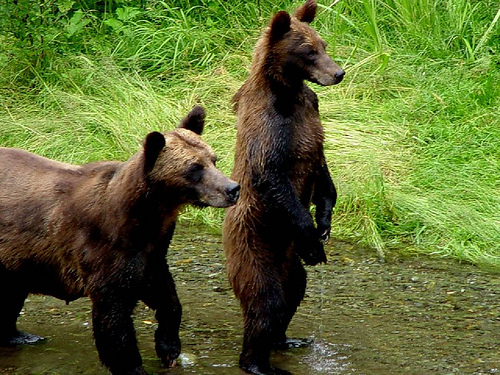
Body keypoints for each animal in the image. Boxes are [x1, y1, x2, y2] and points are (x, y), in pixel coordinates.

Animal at [0, 105, 240, 375]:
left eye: (213, 159)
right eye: (194, 168)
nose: (233, 188)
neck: (144, 217)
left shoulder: (152, 251)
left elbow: (165, 295)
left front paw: (168, 347)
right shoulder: (104, 248)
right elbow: (114, 320)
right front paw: (133, 365)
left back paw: (19, 335)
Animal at [223, 1, 344, 374]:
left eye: (323, 44)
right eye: (308, 51)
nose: (338, 73)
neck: (287, 91)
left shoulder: (310, 114)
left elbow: (322, 170)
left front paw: (324, 222)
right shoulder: (270, 127)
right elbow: (270, 174)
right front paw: (312, 234)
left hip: (288, 258)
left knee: (294, 290)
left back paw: (285, 339)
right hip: (255, 242)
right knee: (267, 300)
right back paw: (259, 362)